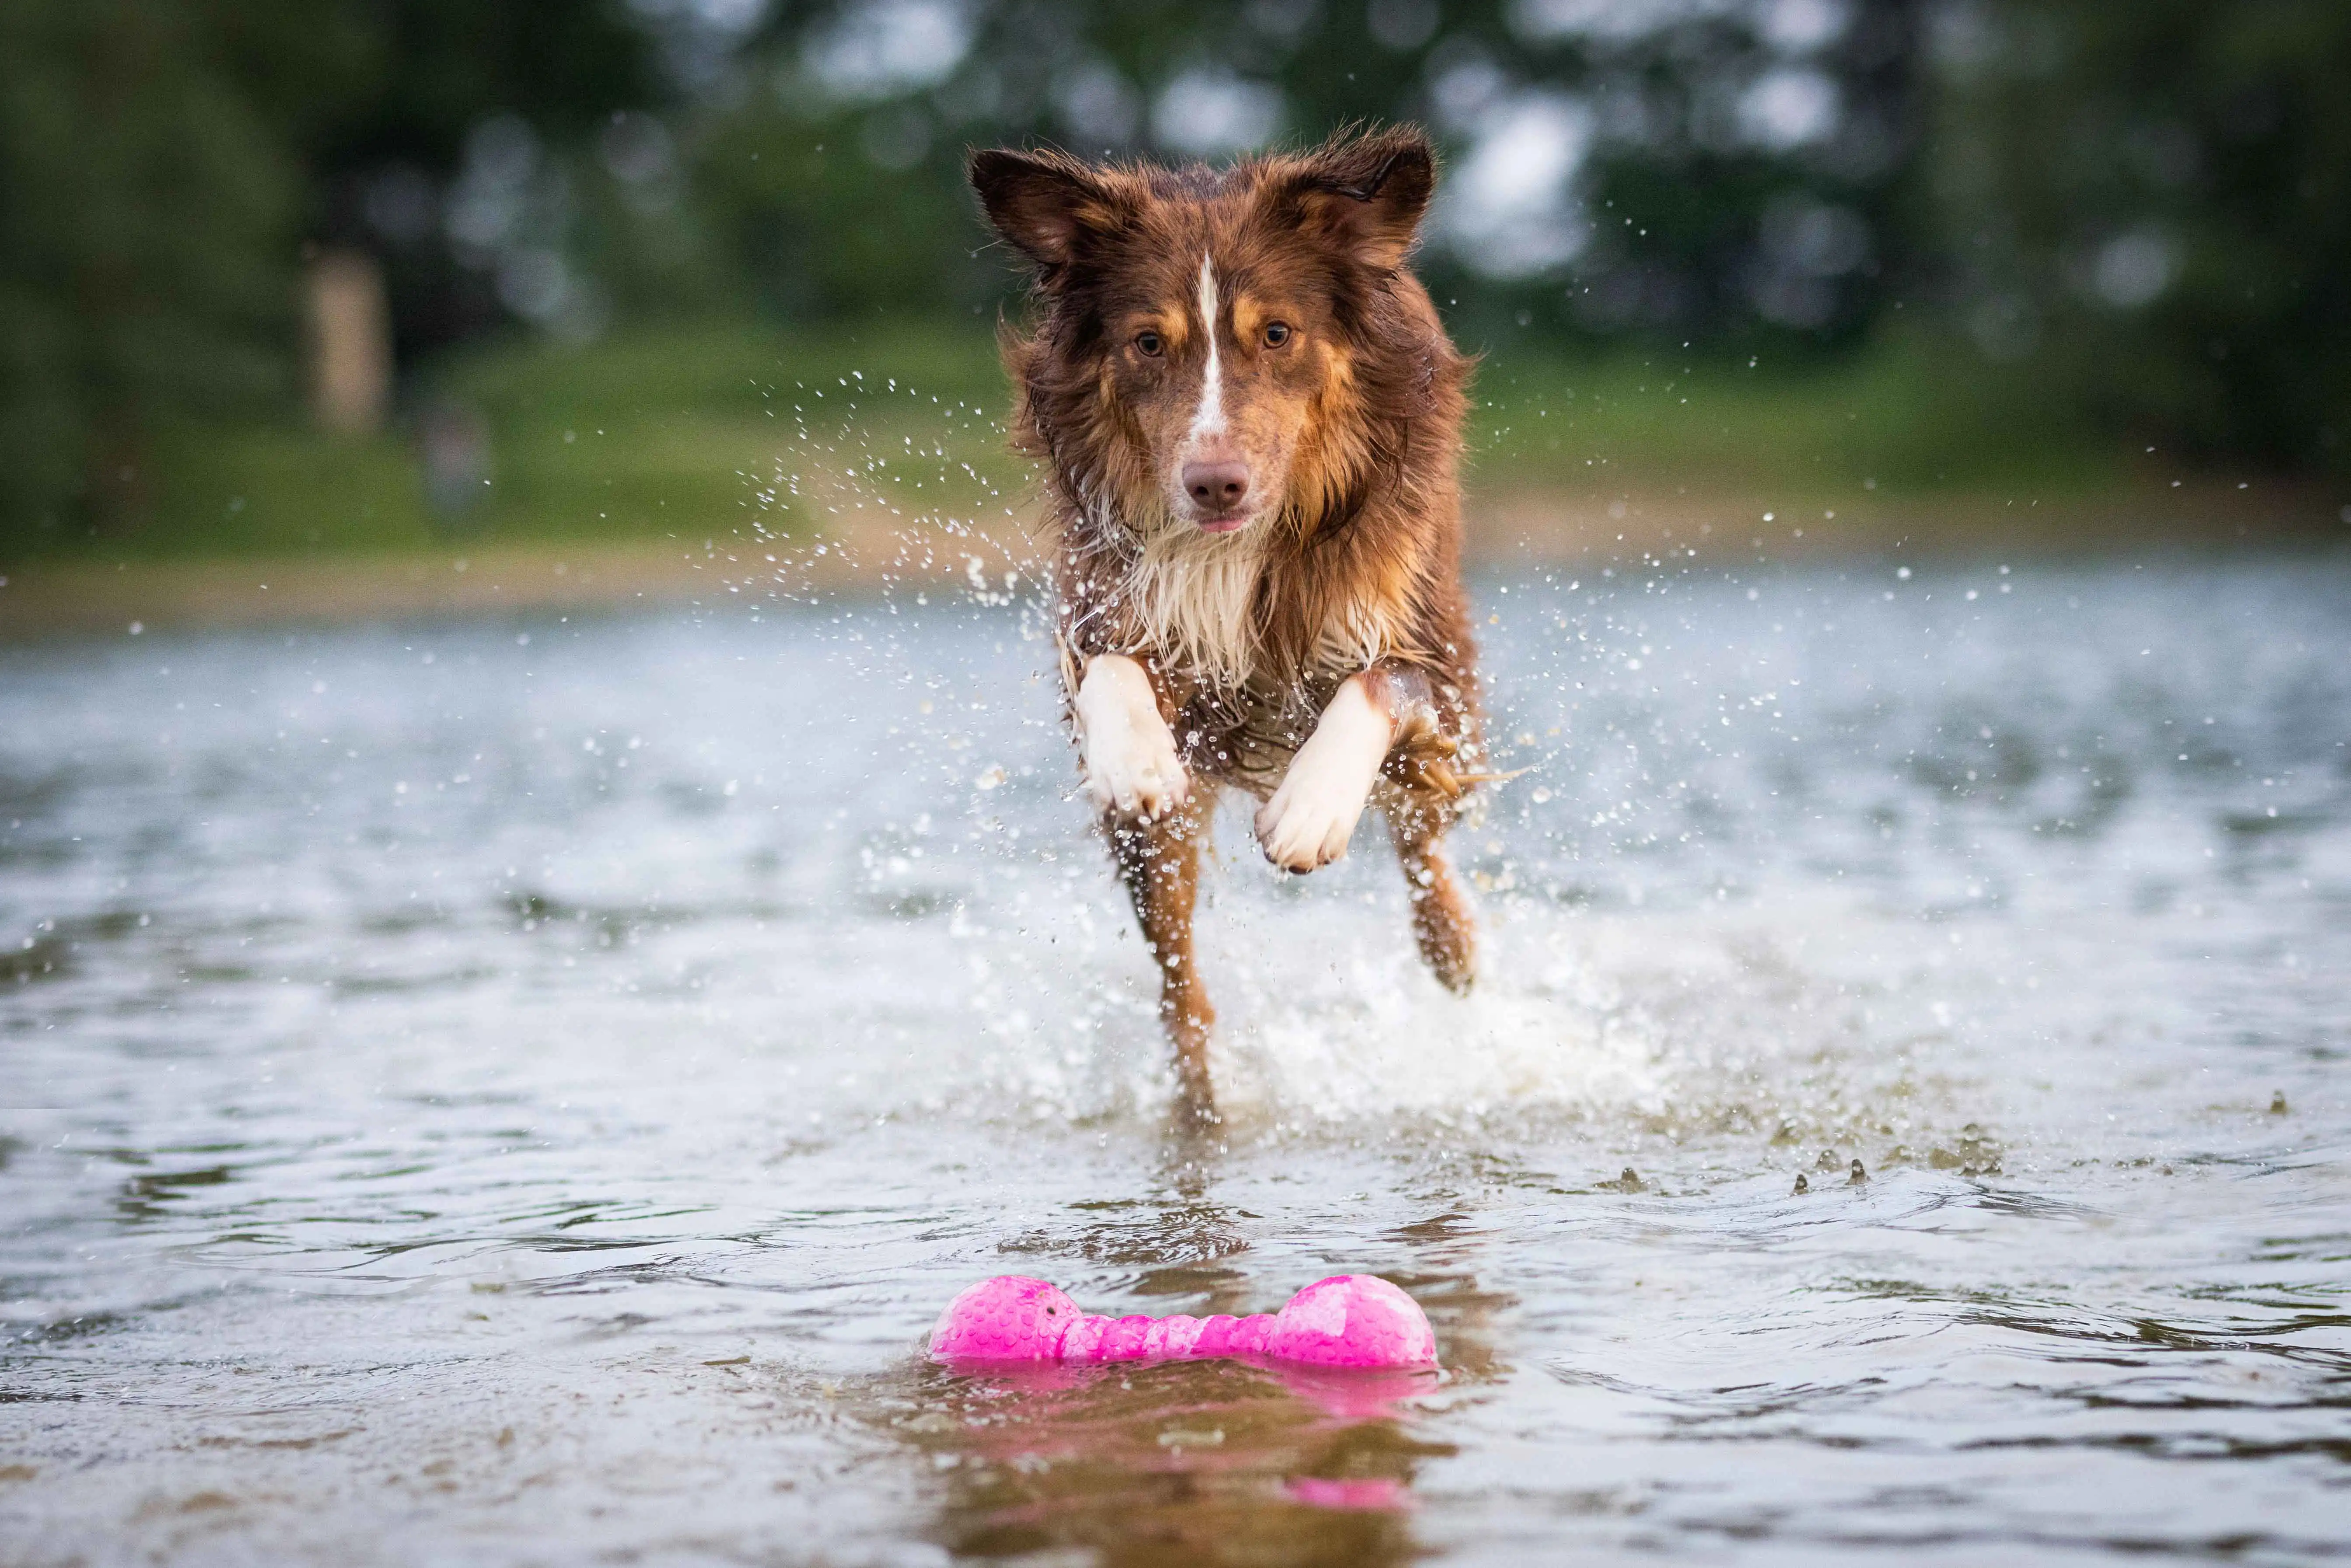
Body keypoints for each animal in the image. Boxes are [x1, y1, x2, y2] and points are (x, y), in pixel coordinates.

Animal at [964, 128, 1476, 1124]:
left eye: (1275, 334)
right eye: (1146, 343)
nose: (1213, 484)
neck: (1245, 550)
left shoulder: (1421, 638)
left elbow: (1379, 680)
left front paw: (1310, 808)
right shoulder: (1109, 603)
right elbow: (1109, 669)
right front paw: (1136, 759)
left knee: (1423, 840)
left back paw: (1457, 952)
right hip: (1152, 869)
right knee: (1180, 986)